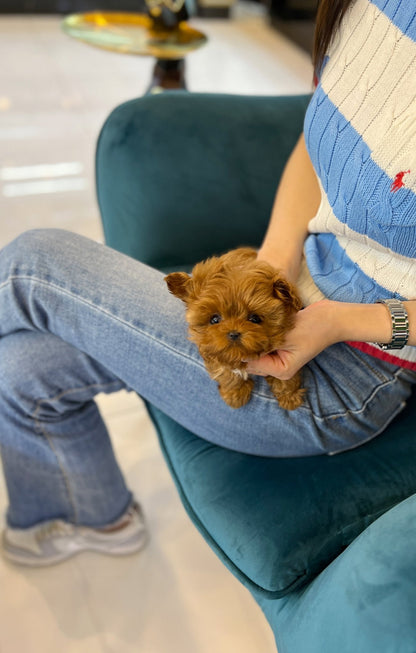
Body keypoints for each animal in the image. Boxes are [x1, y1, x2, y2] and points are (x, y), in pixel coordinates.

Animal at [166, 247, 306, 410]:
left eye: (255, 318)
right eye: (214, 319)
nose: (233, 333)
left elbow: (286, 378)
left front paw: (290, 397)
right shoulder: (212, 352)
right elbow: (227, 373)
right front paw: (235, 395)